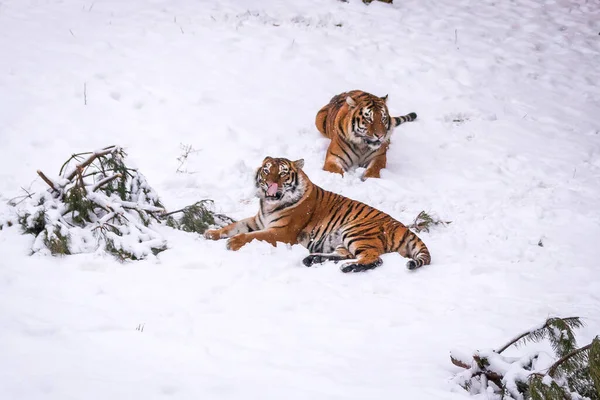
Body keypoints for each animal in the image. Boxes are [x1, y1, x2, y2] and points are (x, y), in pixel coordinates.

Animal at [204, 156, 428, 272]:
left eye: (282, 172)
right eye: (267, 170)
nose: (269, 183)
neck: (269, 204)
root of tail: (402, 227)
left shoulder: (282, 232)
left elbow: (252, 236)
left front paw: (233, 242)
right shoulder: (258, 221)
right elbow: (235, 226)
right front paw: (212, 233)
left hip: (355, 230)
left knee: (374, 258)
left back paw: (348, 268)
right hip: (342, 239)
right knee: (345, 254)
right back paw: (312, 259)